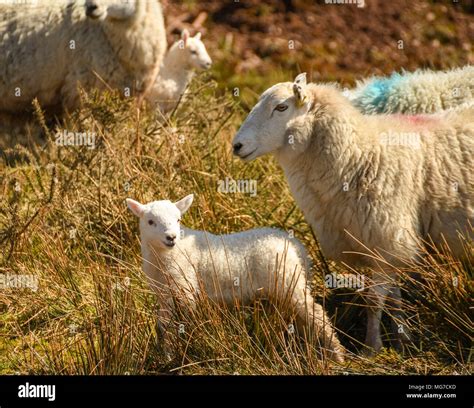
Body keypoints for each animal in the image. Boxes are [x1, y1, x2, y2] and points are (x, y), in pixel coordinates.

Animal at [125, 194, 344, 364]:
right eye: (150, 222)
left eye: (178, 219)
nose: (171, 237)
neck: (168, 256)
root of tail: (298, 248)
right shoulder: (164, 295)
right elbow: (165, 326)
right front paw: (168, 356)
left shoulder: (186, 289)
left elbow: (184, 322)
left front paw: (186, 350)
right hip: (284, 287)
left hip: (289, 280)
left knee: (316, 313)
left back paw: (337, 354)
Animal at [233, 73, 474, 354]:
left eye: (281, 107)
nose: (237, 145)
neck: (360, 154)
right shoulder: (386, 243)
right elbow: (394, 296)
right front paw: (402, 338)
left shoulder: (386, 235)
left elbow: (374, 299)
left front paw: (372, 346)